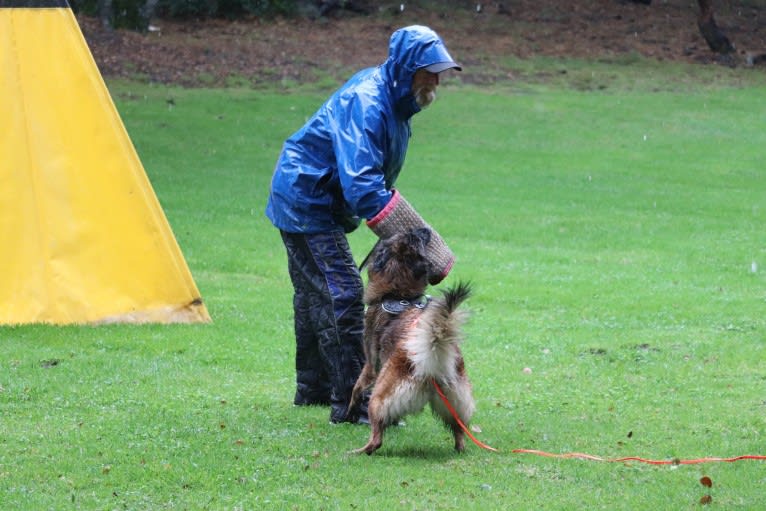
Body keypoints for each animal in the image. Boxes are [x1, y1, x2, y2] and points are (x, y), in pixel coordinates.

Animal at [348, 228, 474, 456]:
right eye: (413, 238)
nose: (424, 229)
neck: (398, 295)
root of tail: (432, 356)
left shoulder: (371, 365)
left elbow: (357, 385)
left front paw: (350, 407)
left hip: (379, 397)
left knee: (376, 438)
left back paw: (359, 451)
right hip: (455, 401)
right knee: (460, 432)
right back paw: (459, 448)